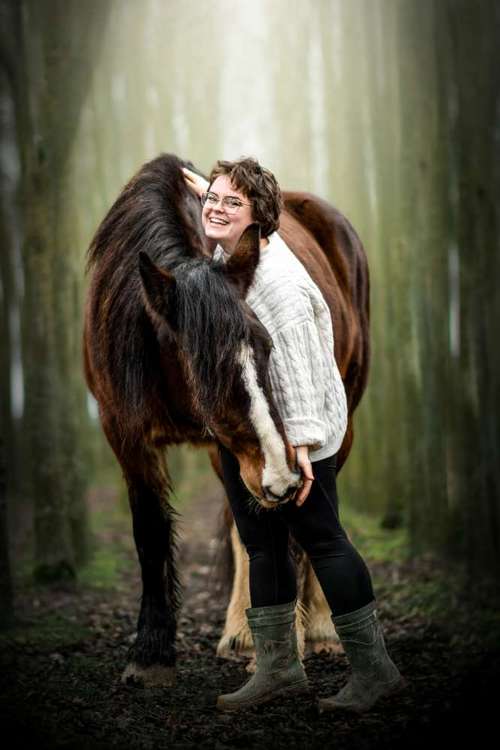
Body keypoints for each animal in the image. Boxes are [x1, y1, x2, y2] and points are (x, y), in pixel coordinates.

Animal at [84, 153, 370, 688]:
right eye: (204, 368)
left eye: (267, 345)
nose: (284, 476)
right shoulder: (125, 434)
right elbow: (151, 533)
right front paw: (151, 653)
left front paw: (286, 645)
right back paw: (241, 633)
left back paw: (321, 629)